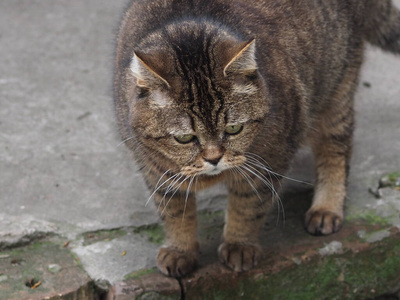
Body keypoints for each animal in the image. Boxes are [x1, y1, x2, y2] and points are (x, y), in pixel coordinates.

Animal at [112, 0, 400, 278]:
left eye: (234, 129)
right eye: (184, 138)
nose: (214, 158)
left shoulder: (270, 160)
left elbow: (248, 205)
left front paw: (239, 245)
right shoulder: (155, 170)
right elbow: (174, 212)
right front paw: (180, 250)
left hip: (336, 90)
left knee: (337, 149)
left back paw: (326, 208)